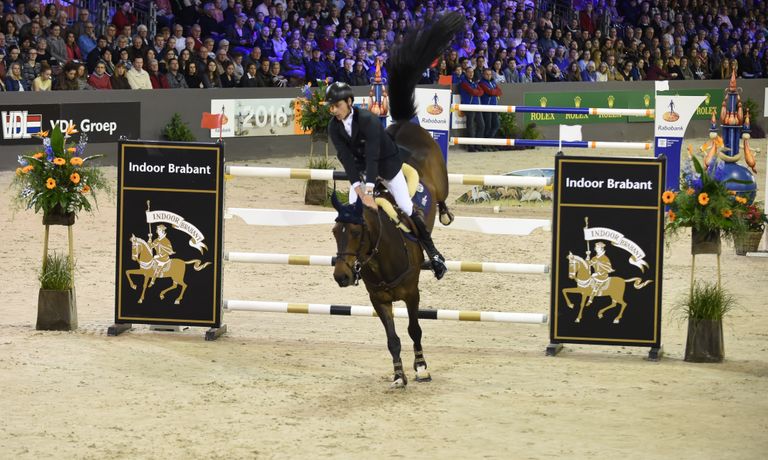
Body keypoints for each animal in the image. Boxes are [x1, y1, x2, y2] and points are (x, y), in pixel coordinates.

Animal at [332, 11, 464, 388]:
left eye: (357, 232)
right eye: (334, 233)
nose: (341, 276)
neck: (379, 256)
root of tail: (405, 122)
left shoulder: (412, 293)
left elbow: (414, 329)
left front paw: (421, 367)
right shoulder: (379, 300)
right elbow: (393, 338)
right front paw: (398, 374)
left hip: (438, 179)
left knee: (438, 205)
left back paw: (444, 218)